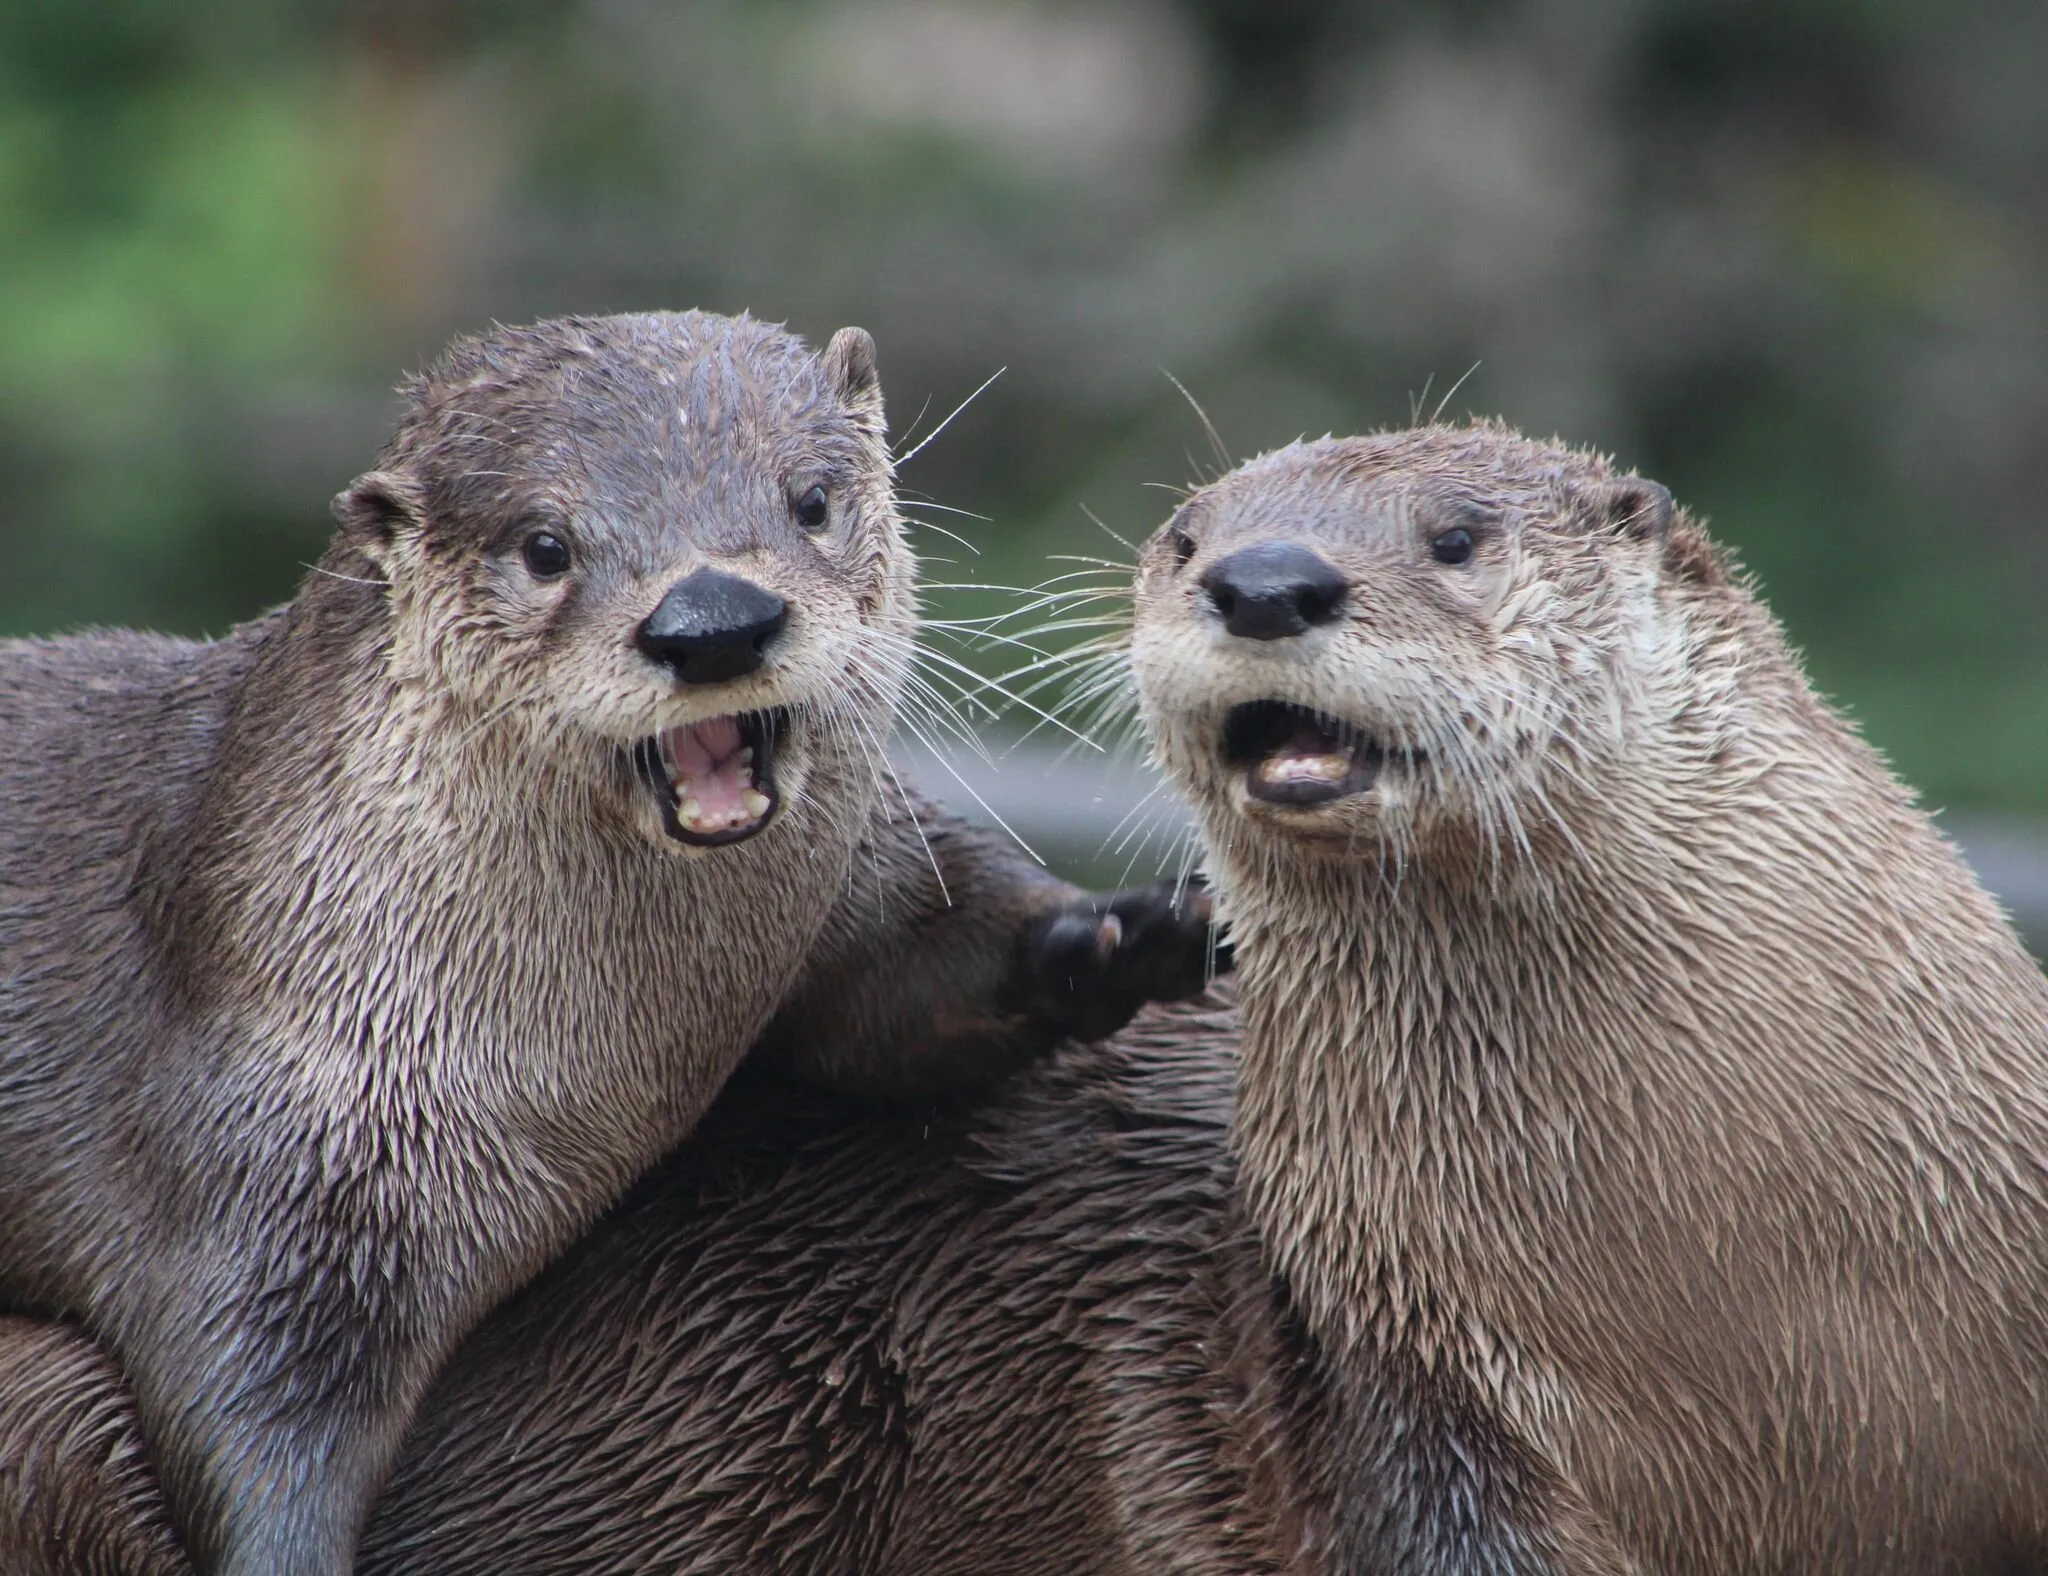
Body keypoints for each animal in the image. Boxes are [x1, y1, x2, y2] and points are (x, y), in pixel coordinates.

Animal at [0, 310, 1215, 1576]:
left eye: (811, 500)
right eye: (546, 546)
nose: (713, 620)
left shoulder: (859, 893)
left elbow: (913, 991)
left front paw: (1125, 932)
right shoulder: (269, 1157)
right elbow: (243, 1416)